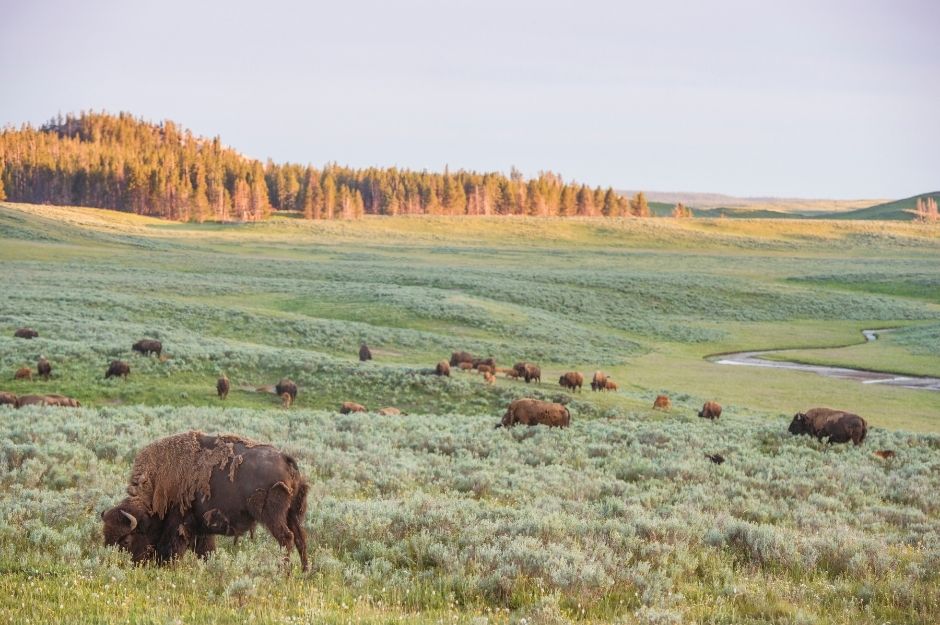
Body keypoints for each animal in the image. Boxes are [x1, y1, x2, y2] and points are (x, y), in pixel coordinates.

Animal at [102, 428, 308, 572]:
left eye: (126, 540)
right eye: (105, 536)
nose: (119, 565)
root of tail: (285, 458)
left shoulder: (180, 524)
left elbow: (175, 549)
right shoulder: (202, 528)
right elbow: (206, 551)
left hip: (272, 514)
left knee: (286, 538)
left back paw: (284, 572)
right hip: (291, 514)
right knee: (300, 539)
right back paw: (305, 572)